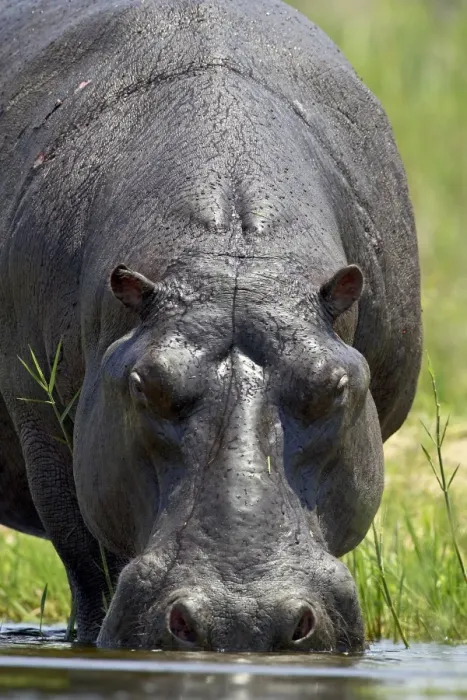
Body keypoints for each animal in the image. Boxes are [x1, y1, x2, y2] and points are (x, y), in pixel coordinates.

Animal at [0, 0, 421, 651]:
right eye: (145, 384)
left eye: (334, 385)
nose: (241, 619)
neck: (230, 253)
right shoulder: (44, 430)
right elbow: (90, 569)